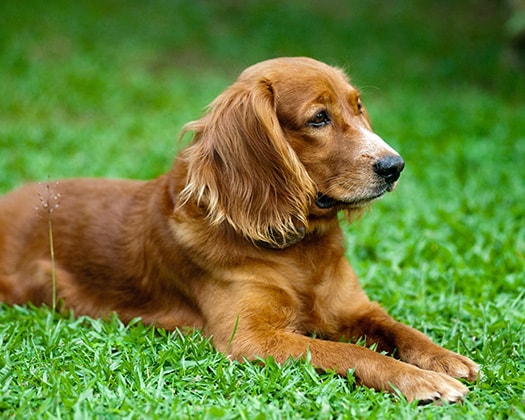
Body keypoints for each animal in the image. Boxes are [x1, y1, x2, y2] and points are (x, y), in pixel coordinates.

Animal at [0, 57, 476, 402]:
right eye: (318, 119)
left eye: (358, 108)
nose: (394, 166)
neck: (299, 247)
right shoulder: (251, 339)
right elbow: (350, 351)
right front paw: (420, 382)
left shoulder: (355, 308)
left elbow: (399, 328)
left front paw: (443, 359)